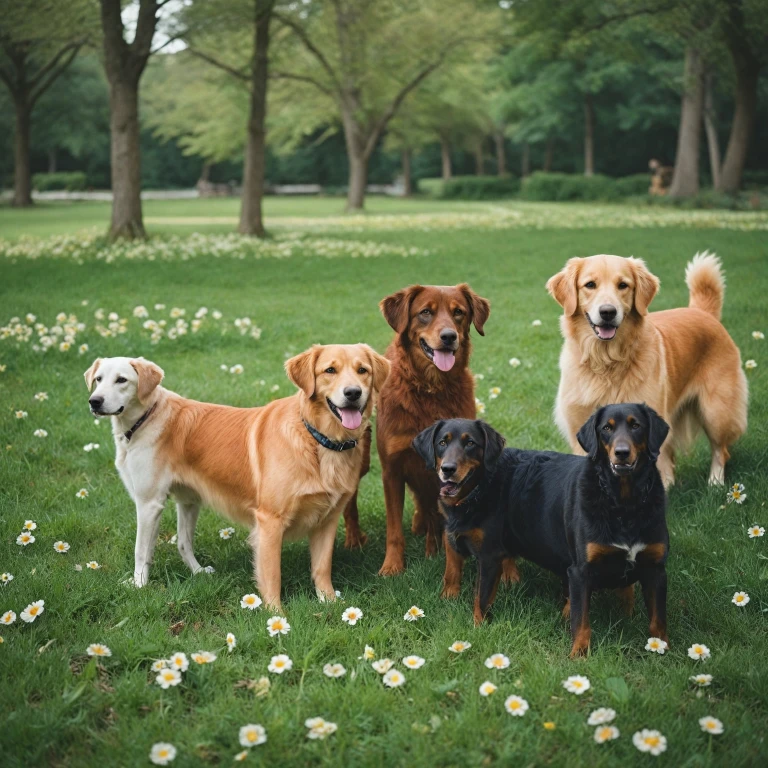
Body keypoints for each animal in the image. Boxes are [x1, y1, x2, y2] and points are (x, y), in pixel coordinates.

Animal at [412, 404, 668, 656]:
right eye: (442, 443)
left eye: (470, 443)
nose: (447, 469)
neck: (624, 504)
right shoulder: (457, 538)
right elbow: (454, 575)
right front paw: (455, 606)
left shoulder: (654, 569)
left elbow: (657, 622)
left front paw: (662, 651)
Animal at [548, 252, 748, 486]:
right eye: (590, 285)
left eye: (623, 285)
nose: (608, 312)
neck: (606, 361)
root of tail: (701, 312)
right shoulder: (581, 428)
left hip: (716, 412)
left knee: (720, 450)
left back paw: (715, 483)